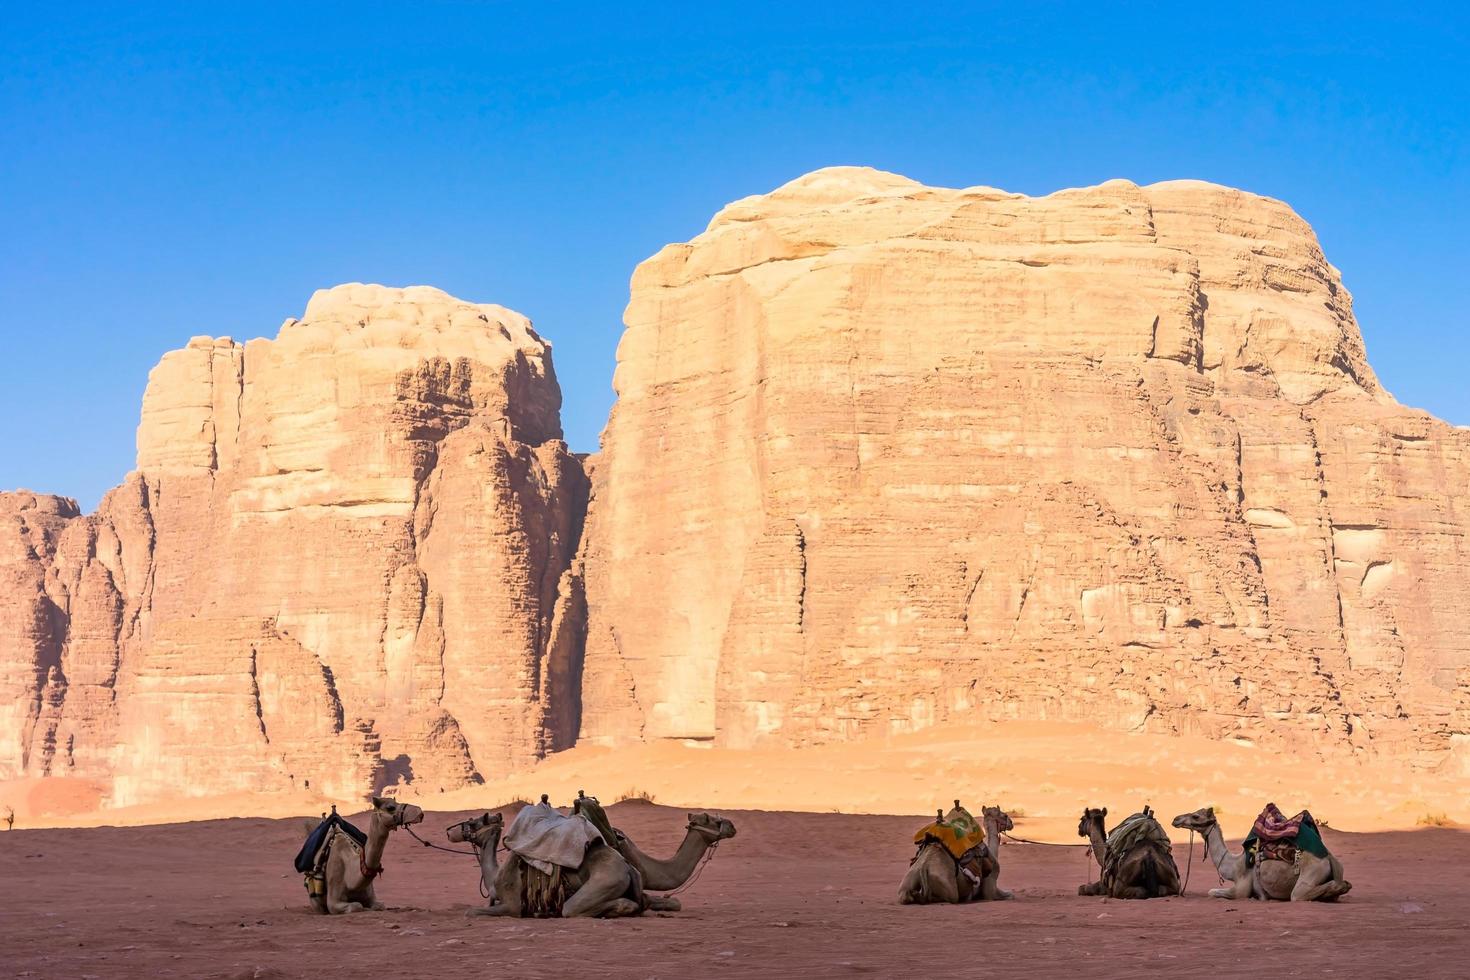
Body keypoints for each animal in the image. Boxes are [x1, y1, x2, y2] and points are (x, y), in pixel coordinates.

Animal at [1170, 805, 1352, 905]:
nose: (1175, 819)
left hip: (1311, 873)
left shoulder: (1241, 889)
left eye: (1195, 816)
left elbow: (1212, 891)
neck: (1234, 865)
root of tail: (1329, 858)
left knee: (1299, 894)